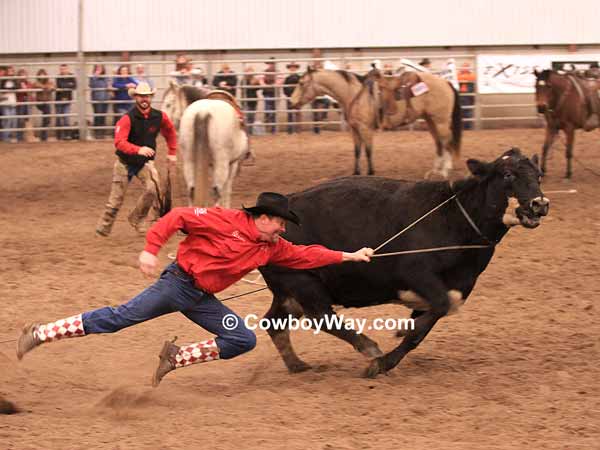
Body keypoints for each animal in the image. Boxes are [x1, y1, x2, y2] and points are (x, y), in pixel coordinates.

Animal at [258, 148, 548, 376]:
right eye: (508, 175)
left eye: (538, 176)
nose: (540, 204)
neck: (454, 217)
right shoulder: (417, 274)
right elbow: (437, 310)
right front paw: (385, 354)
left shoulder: (459, 286)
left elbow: (427, 323)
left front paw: (393, 351)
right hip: (303, 281)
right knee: (322, 317)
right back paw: (368, 348)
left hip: (288, 290)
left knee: (273, 322)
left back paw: (297, 365)